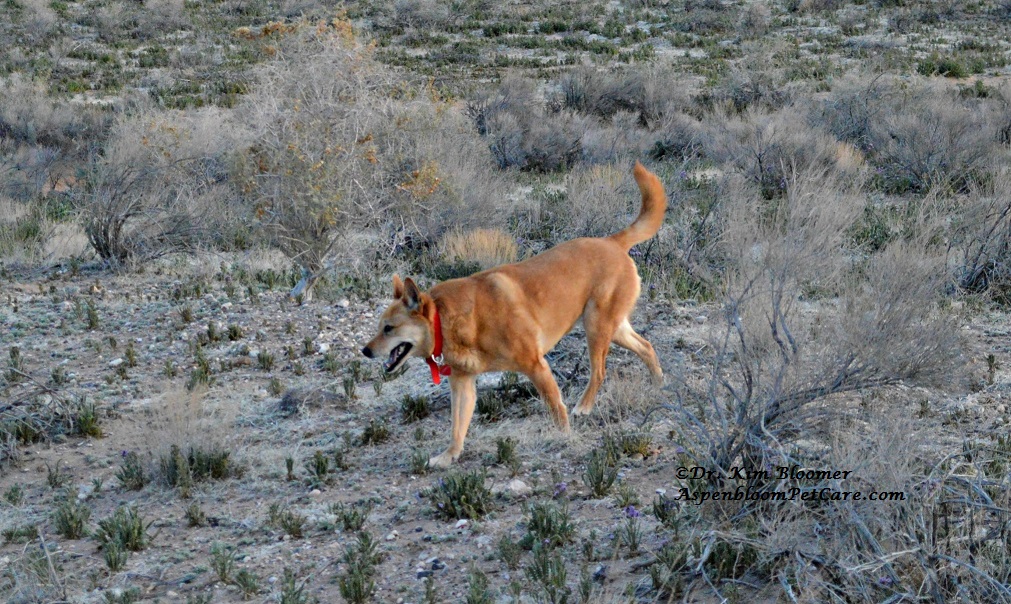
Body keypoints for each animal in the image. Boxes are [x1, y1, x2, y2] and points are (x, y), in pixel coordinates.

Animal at [359, 162, 667, 469]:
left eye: (389, 328)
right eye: (379, 327)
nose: (364, 351)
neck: (446, 322)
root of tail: (611, 241)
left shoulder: (535, 365)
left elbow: (555, 407)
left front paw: (565, 437)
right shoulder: (462, 384)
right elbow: (457, 427)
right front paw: (449, 456)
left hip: (596, 327)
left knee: (600, 371)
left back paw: (585, 406)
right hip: (613, 328)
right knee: (647, 347)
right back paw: (658, 383)